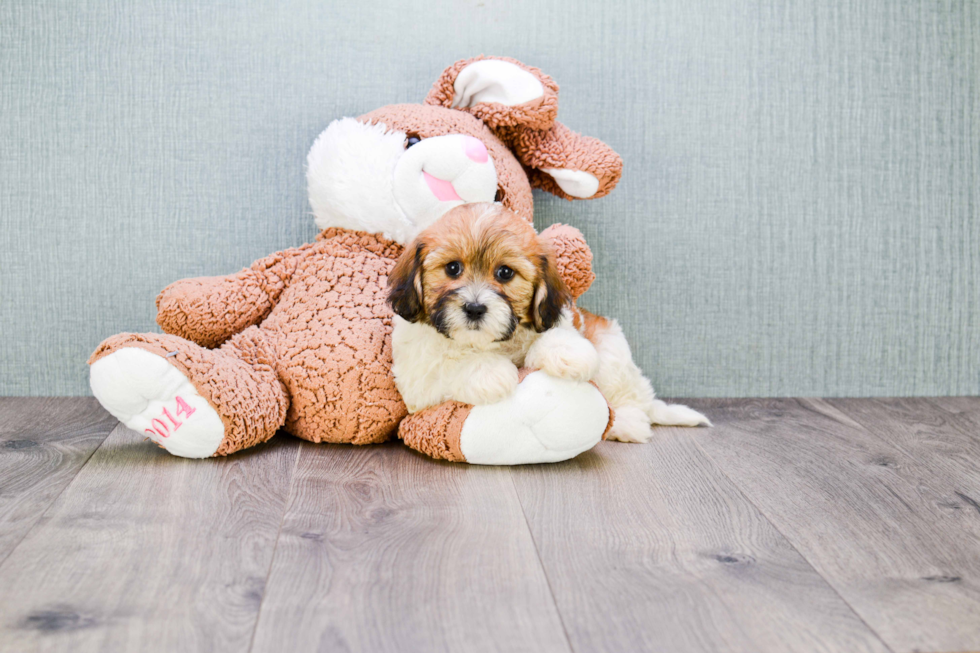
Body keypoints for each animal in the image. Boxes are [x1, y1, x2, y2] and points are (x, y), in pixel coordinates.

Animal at [386, 201, 708, 440]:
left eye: (505, 273)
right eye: (452, 268)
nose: (475, 308)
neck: (488, 343)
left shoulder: (559, 321)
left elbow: (556, 336)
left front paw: (569, 354)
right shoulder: (416, 378)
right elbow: (447, 363)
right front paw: (489, 372)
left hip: (613, 354)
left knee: (630, 396)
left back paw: (627, 423)